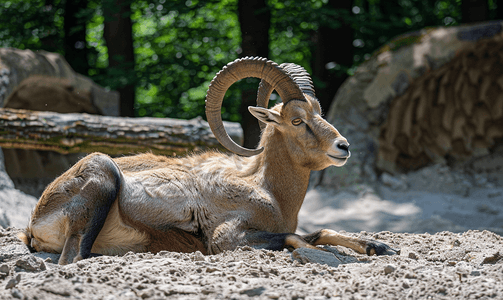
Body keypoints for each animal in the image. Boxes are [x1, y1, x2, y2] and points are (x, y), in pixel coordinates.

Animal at [18, 57, 398, 264]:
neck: (268, 191)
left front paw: (381, 247)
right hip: (102, 175)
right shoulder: (228, 238)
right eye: (296, 120)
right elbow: (297, 238)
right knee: (72, 259)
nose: (343, 147)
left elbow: (320, 231)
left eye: (318, 112)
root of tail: (34, 223)